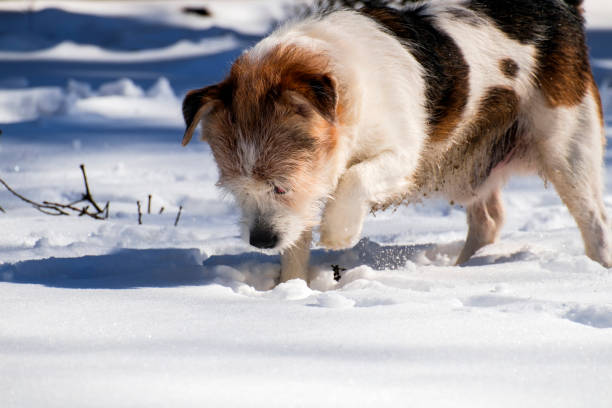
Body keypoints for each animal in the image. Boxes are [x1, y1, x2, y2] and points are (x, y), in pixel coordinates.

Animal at [183, 0, 612, 284]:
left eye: (280, 185)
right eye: (237, 190)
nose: (260, 241)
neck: (346, 87)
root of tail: (556, 6)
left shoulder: (402, 157)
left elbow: (355, 178)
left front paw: (338, 231)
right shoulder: (311, 187)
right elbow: (298, 235)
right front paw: (292, 289)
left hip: (567, 150)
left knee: (595, 222)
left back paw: (596, 270)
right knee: (489, 220)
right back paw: (463, 270)